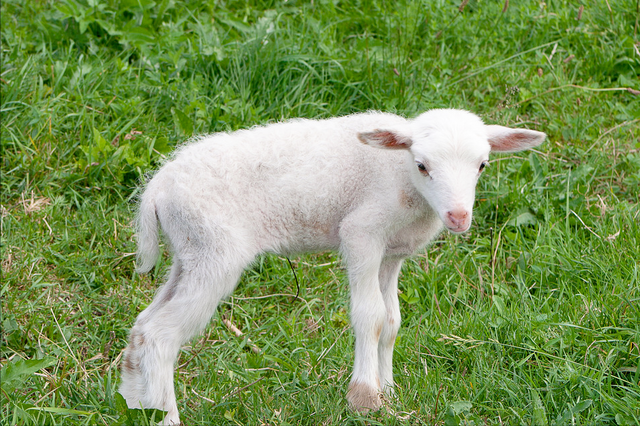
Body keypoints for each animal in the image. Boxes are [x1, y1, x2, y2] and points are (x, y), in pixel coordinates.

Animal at [119, 109, 544, 422]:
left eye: (483, 165)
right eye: (422, 165)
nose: (458, 217)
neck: (401, 179)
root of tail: (157, 188)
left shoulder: (392, 253)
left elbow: (392, 321)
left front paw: (390, 393)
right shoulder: (361, 234)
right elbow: (370, 315)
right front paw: (365, 397)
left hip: (190, 250)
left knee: (142, 326)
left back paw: (135, 403)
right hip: (215, 251)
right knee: (161, 335)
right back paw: (167, 416)